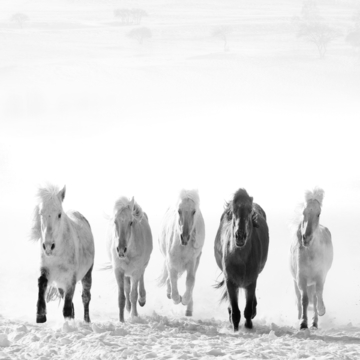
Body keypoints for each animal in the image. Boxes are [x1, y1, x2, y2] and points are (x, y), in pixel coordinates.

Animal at [30, 186, 94, 324]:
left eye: (59, 214)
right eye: (41, 213)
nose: (48, 246)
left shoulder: (70, 279)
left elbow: (67, 308)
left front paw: (68, 323)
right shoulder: (46, 269)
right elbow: (42, 282)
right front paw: (40, 316)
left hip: (87, 274)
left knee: (86, 297)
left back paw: (87, 320)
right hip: (60, 283)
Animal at [212, 188, 268, 332]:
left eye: (249, 211)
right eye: (232, 212)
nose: (240, 236)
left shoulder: (251, 281)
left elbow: (247, 309)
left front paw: (248, 325)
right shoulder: (230, 282)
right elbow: (235, 311)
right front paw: (235, 328)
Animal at [288, 187, 334, 330]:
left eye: (318, 214)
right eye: (304, 212)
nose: (306, 238)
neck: (311, 255)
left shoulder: (320, 276)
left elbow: (317, 295)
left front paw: (321, 310)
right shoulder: (300, 278)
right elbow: (304, 299)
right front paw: (303, 322)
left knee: (314, 296)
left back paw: (315, 322)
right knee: (299, 297)